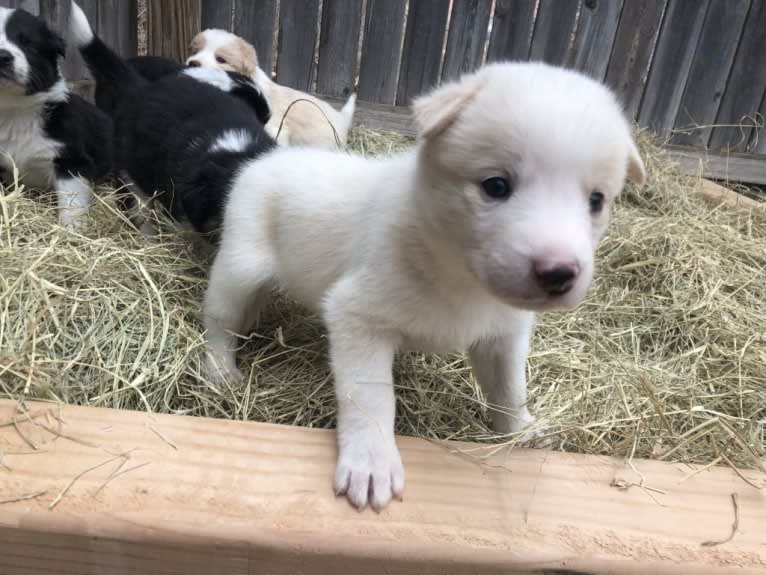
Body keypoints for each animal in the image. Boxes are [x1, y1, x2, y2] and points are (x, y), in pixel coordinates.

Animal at [0, 6, 112, 228]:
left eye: (26, 42)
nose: (2, 56)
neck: (13, 110)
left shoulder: (71, 162)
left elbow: (72, 206)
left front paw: (71, 231)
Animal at [202, 63, 648, 512]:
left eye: (596, 200)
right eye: (496, 186)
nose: (558, 273)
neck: (457, 274)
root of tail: (265, 158)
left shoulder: (503, 336)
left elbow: (509, 388)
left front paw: (521, 430)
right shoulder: (357, 317)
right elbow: (372, 397)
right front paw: (371, 462)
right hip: (238, 267)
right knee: (219, 321)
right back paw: (221, 370)